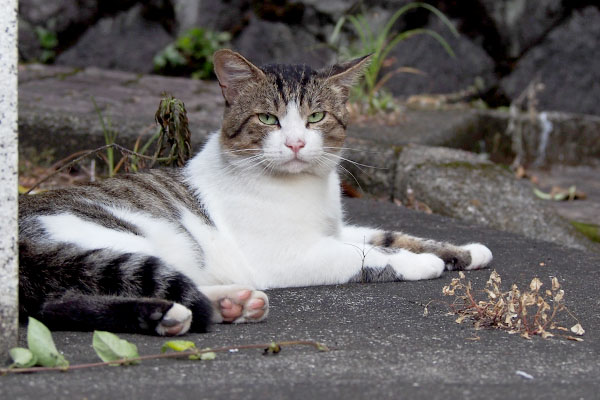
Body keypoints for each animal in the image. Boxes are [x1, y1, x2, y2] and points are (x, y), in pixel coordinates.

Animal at [19, 49, 492, 338]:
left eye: (316, 117)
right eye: (268, 119)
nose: (296, 143)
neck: (305, 189)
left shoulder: (337, 230)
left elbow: (391, 236)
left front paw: (464, 252)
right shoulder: (291, 255)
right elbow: (368, 255)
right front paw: (422, 264)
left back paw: (230, 303)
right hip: (116, 239)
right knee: (63, 301)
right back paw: (173, 312)